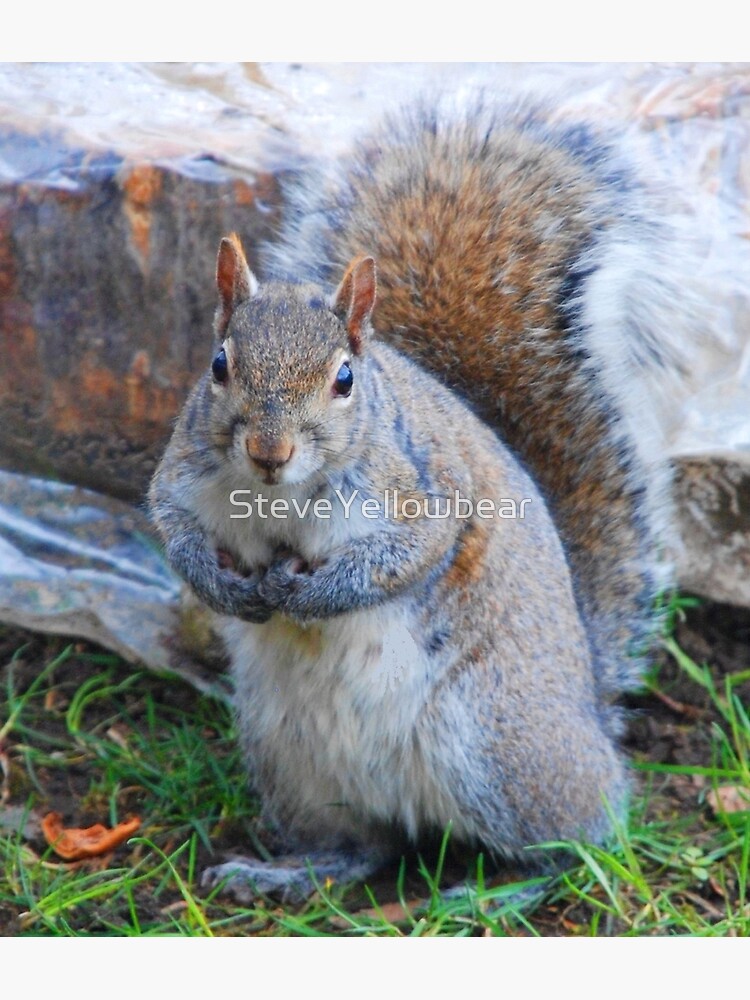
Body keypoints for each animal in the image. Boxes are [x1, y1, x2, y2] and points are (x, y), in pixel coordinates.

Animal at [148, 99, 700, 900]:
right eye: (218, 365)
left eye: (345, 380)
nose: (269, 452)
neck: (279, 497)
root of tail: (591, 720)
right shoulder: (182, 476)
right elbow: (174, 531)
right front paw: (224, 587)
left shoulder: (425, 496)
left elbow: (404, 558)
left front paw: (311, 597)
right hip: (295, 764)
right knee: (364, 845)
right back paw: (290, 873)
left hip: (497, 747)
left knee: (581, 838)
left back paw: (505, 889)